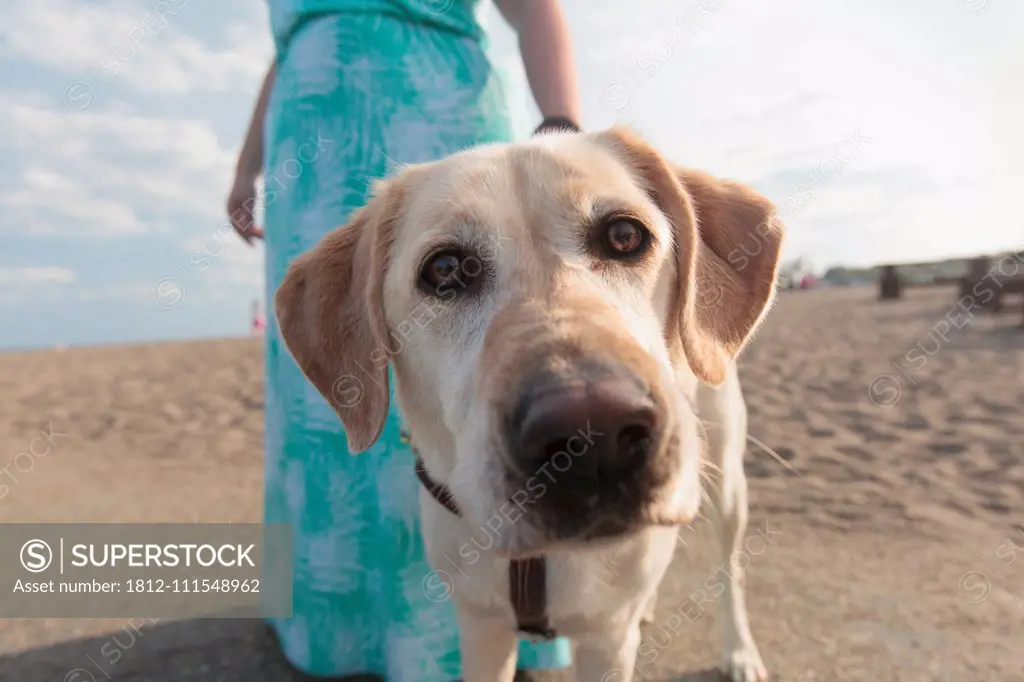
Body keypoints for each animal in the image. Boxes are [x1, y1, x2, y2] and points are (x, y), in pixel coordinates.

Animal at [272, 124, 782, 675]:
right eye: (444, 269)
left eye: (625, 236)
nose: (592, 434)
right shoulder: (481, 629)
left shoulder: (607, 641)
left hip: (727, 482)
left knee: (730, 570)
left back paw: (740, 650)